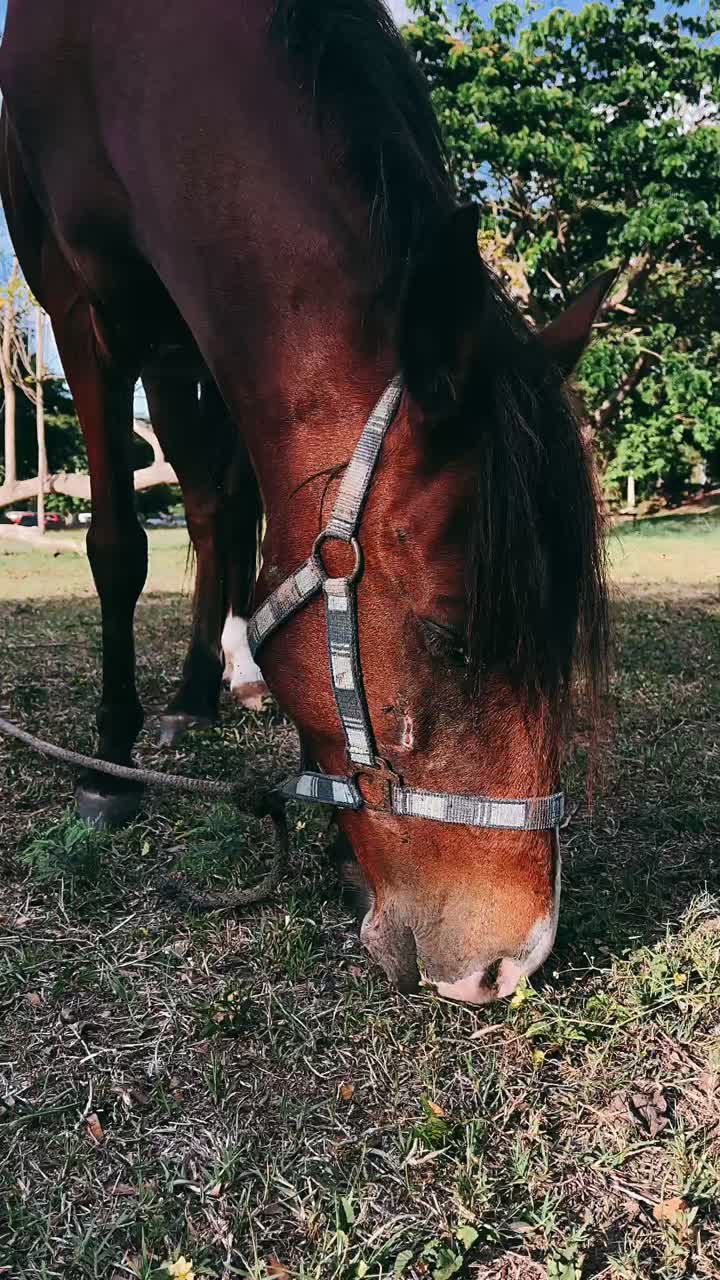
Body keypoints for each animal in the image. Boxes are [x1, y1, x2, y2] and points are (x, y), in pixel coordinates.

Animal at [0, 0, 609, 1003]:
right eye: (452, 637)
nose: (513, 960)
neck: (136, 59)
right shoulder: (82, 314)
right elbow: (118, 546)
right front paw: (111, 768)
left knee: (218, 504)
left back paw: (210, 689)